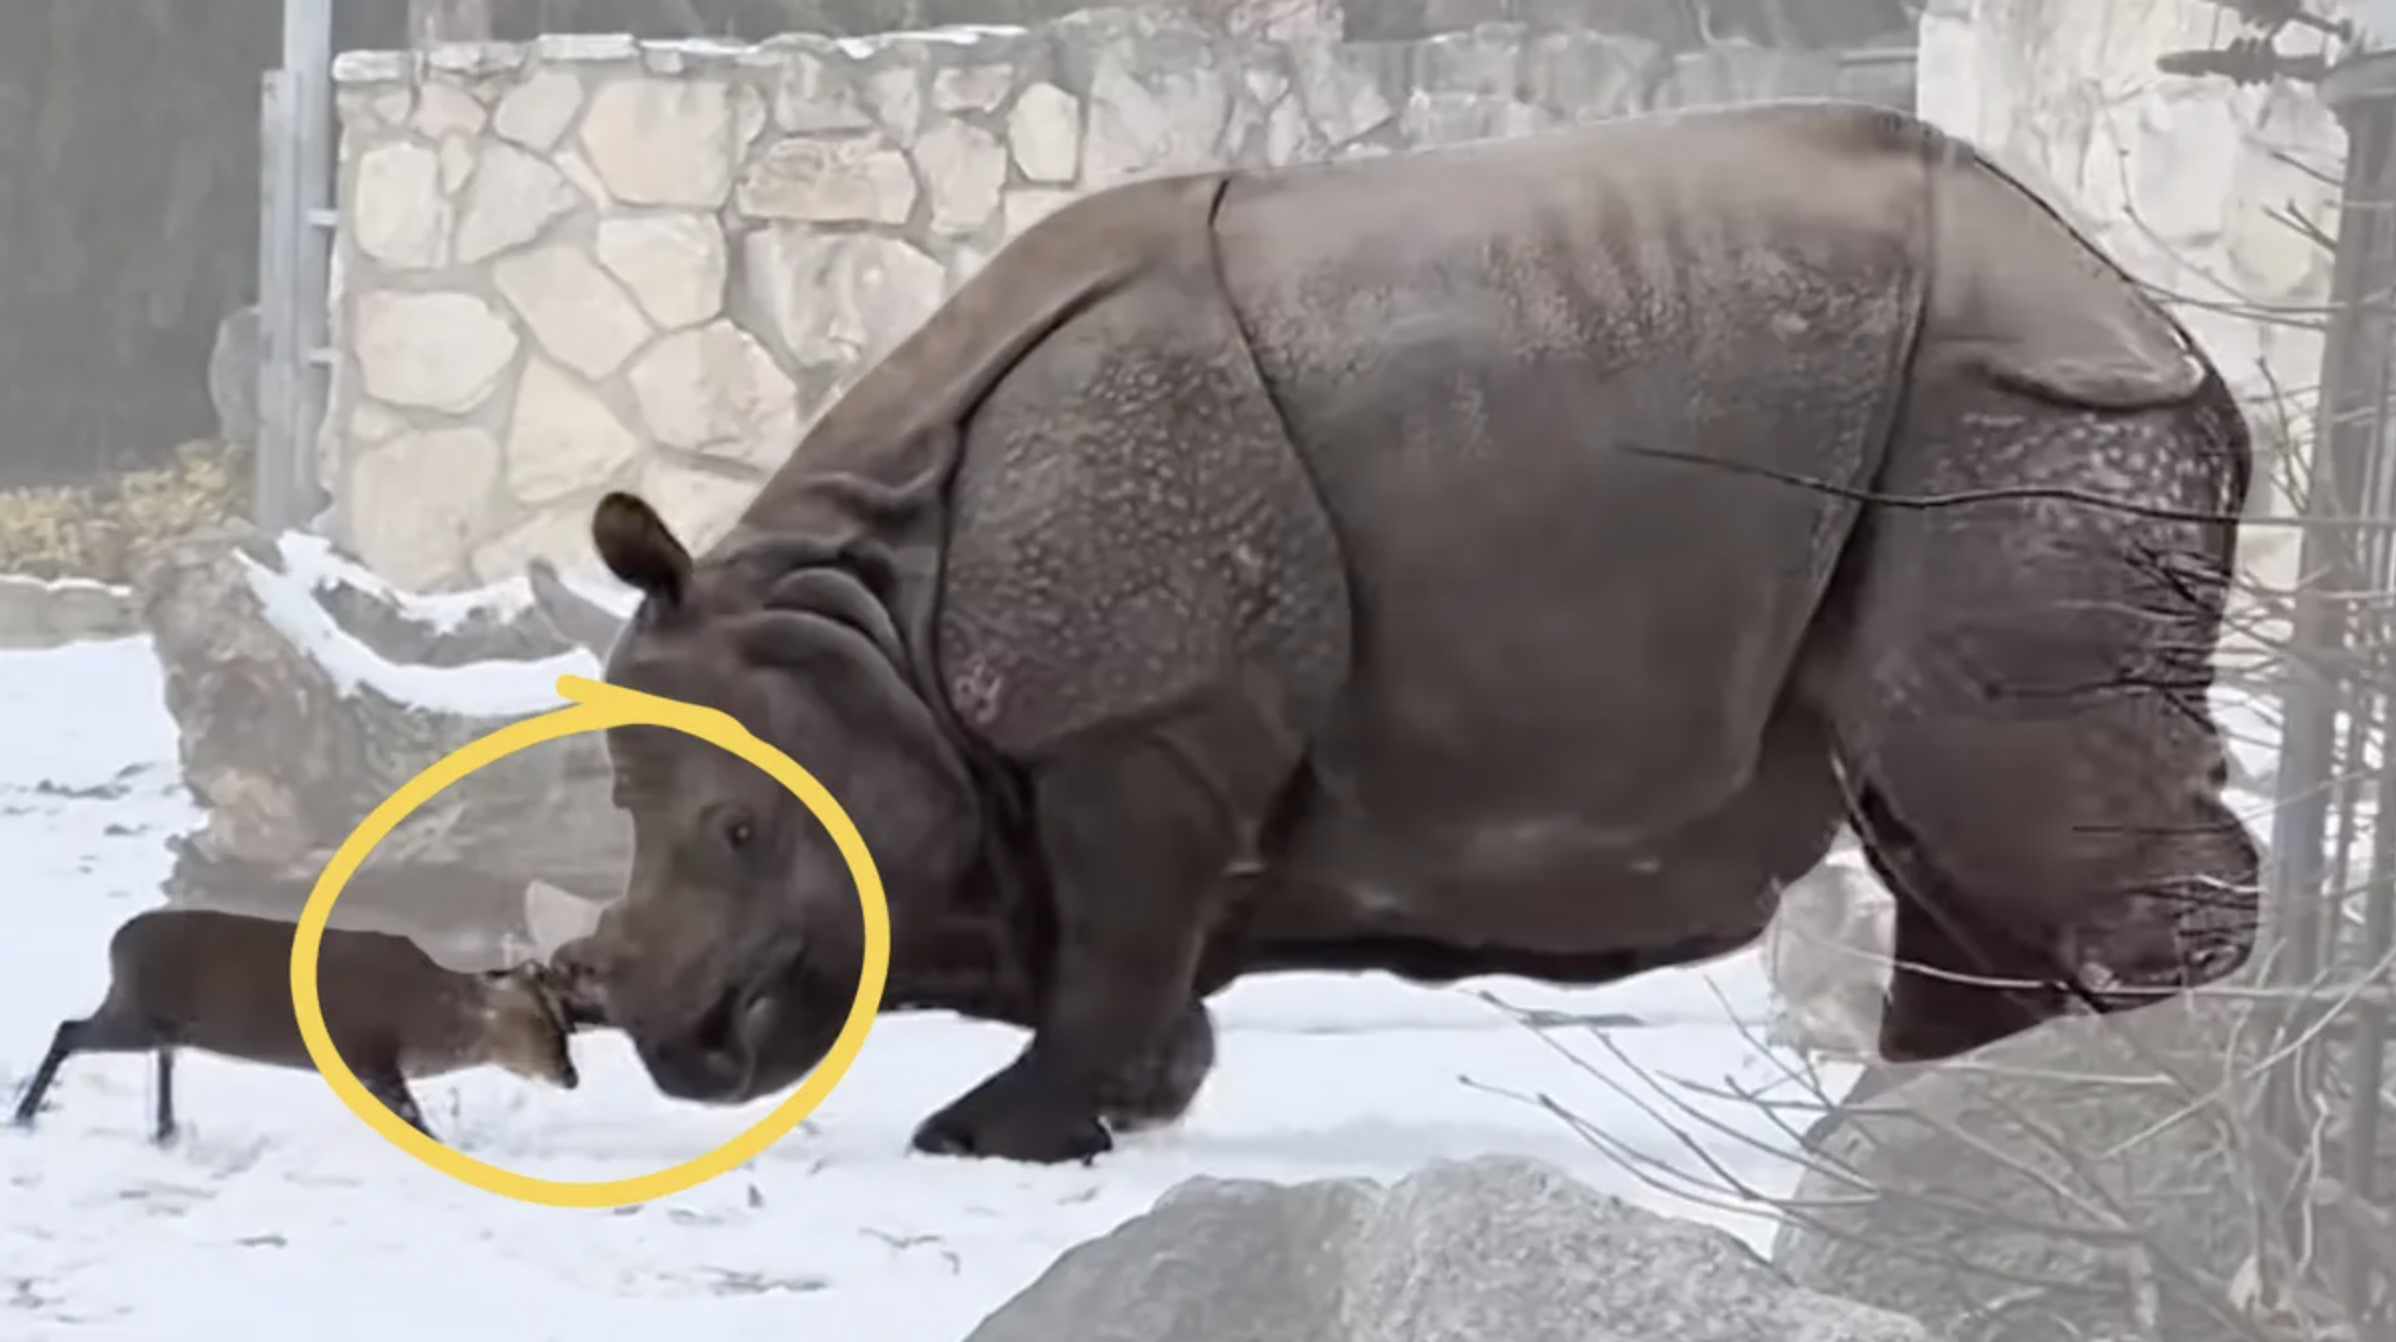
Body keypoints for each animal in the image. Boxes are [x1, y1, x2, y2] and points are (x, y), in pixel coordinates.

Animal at [546, 99, 2261, 1165]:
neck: (871, 612)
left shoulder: (1138, 711)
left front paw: (990, 1136)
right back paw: (1923, 1135)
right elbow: (1124, 944)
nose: (670, 1032)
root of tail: (2151, 311)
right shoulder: (1138, 718)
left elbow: (1116, 919)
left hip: (2019, 416)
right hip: (1989, 419)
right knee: (1945, 819)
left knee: (1998, 780)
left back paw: (2154, 1121)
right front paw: (1145, 1097)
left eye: (741, 832)